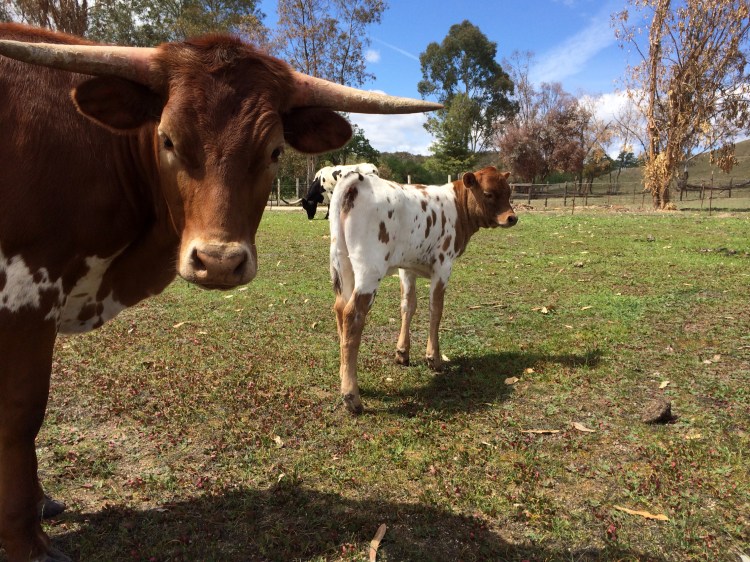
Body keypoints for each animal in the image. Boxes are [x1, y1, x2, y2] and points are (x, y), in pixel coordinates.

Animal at [0, 23, 441, 562]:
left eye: (274, 151)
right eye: (167, 139)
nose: (219, 261)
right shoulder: (25, 292)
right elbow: (21, 414)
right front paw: (26, 542)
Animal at [329, 167, 517, 414]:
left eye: (508, 191)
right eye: (488, 193)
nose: (512, 217)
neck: (458, 207)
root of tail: (357, 179)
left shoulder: (407, 268)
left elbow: (408, 306)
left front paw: (402, 353)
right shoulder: (443, 265)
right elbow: (436, 309)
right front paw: (434, 358)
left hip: (344, 263)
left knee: (340, 309)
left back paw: (344, 377)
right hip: (369, 269)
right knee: (353, 315)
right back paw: (352, 397)